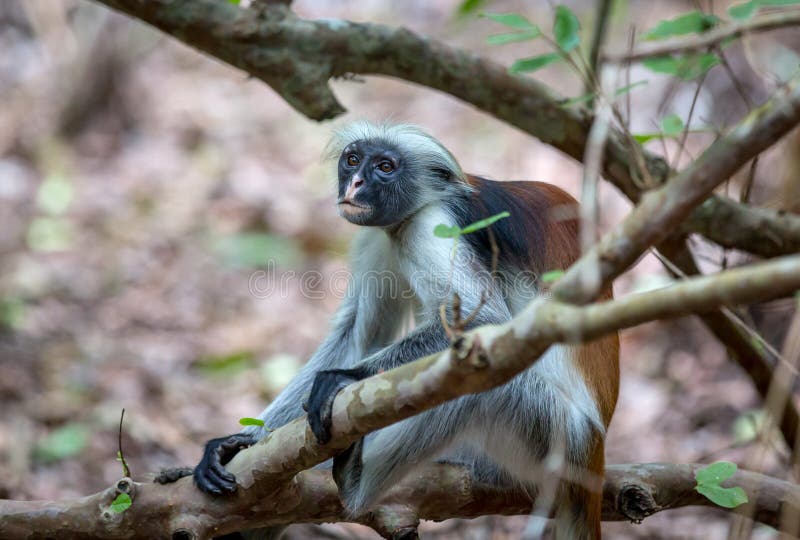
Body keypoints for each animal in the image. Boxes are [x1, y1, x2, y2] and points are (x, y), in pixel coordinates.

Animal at [191, 121, 620, 539]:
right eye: (352, 160)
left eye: (385, 167)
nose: (355, 184)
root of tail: (594, 456)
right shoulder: (381, 232)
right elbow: (357, 334)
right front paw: (239, 443)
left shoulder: (432, 224)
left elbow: (483, 323)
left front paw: (345, 376)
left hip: (555, 436)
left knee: (476, 384)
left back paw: (354, 485)